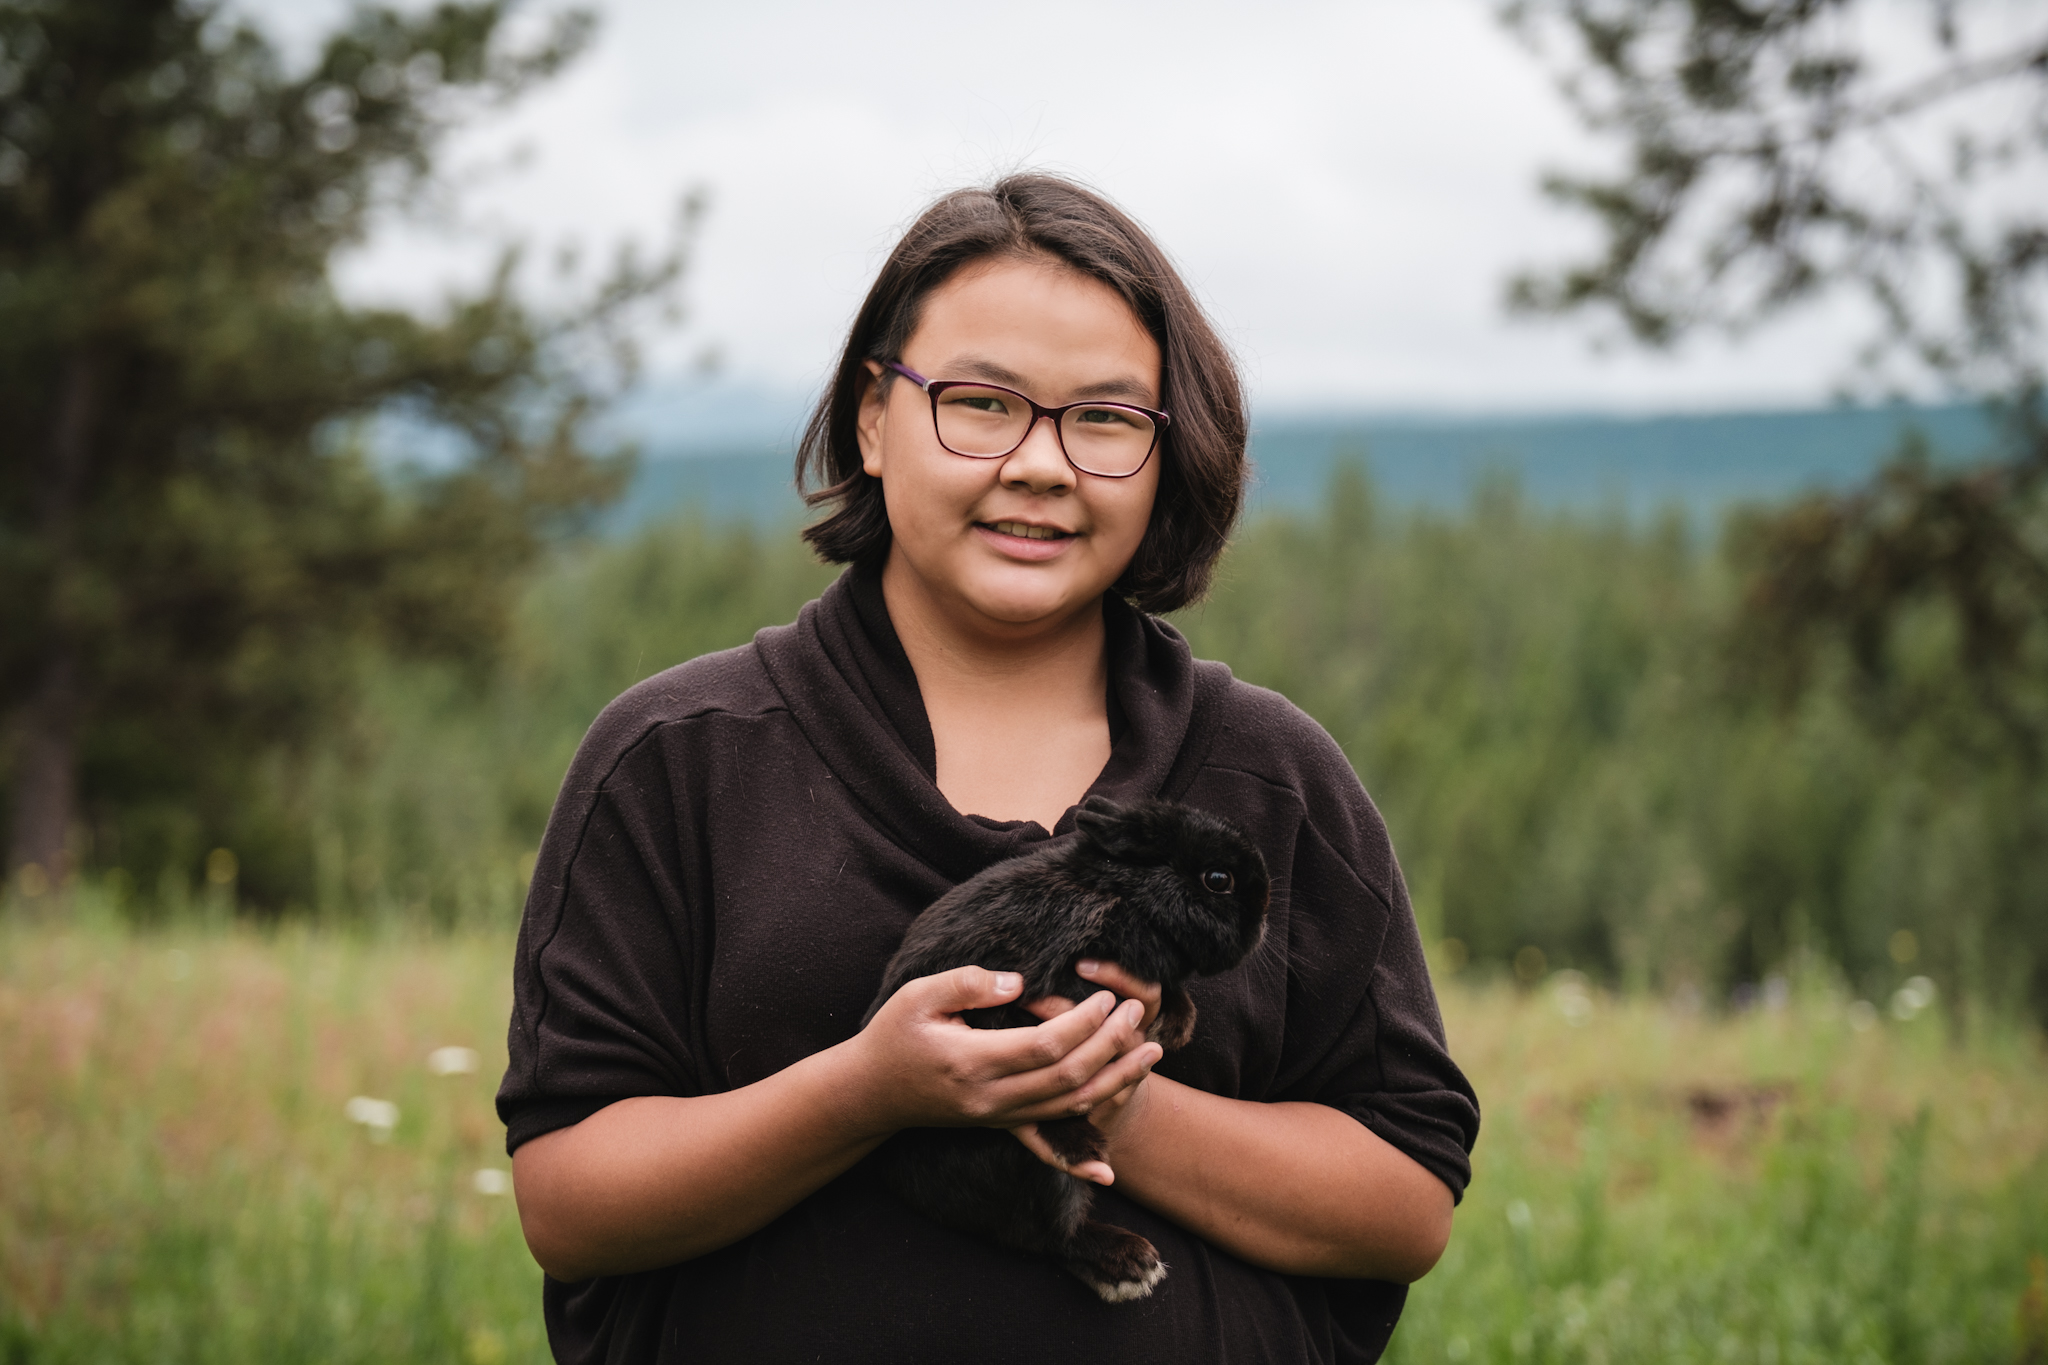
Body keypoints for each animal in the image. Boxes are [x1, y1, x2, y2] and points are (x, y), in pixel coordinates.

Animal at [856, 794, 1269, 1309]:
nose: (1262, 922)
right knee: (1046, 1234)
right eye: (1218, 879)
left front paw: (1175, 1024)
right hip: (1037, 1174)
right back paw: (1125, 1254)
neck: (1121, 894)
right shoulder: (1015, 1002)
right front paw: (1077, 1139)